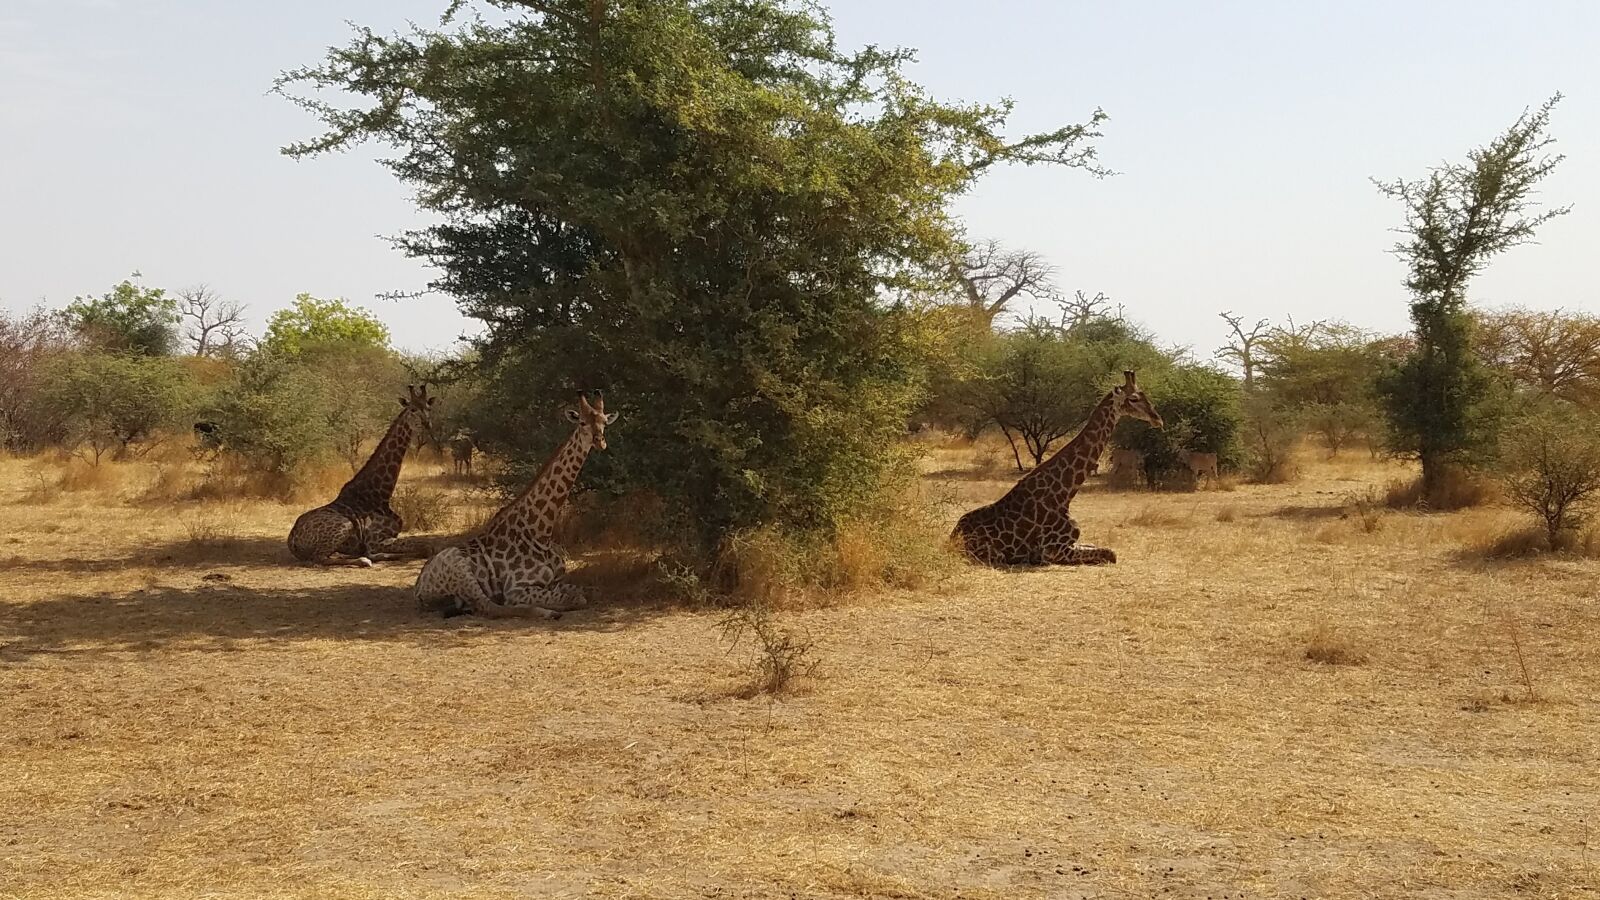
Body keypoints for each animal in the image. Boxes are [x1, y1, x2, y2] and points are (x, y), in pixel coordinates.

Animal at [287, 384, 437, 567]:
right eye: (413, 409)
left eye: (428, 408)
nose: (427, 424)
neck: (381, 495)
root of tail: (292, 539)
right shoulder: (375, 540)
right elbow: (426, 547)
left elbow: (428, 547)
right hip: (344, 525)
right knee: (320, 557)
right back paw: (364, 559)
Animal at [414, 392, 618, 619]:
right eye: (582, 422)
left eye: (604, 422)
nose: (600, 442)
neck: (541, 532)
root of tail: (419, 588)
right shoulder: (517, 588)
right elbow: (577, 599)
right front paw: (554, 608)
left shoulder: (556, 581)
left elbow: (590, 591)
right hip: (458, 566)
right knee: (488, 606)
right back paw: (546, 612)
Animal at [952, 371, 1163, 566]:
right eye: (1134, 398)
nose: (1157, 419)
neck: (1064, 495)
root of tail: (952, 535)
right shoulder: (1055, 550)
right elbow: (1110, 554)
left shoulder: (1071, 544)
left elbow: (1104, 550)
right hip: (994, 554)